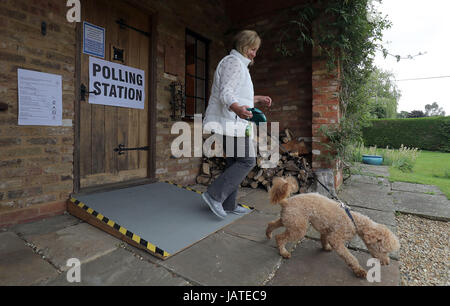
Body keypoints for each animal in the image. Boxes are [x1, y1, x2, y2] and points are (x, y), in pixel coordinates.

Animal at [266, 176, 400, 278]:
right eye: (384, 251)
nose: (387, 263)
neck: (354, 221)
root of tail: (286, 201)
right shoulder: (336, 239)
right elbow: (350, 257)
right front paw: (359, 270)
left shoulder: (327, 230)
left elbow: (324, 239)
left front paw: (326, 248)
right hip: (298, 228)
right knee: (280, 237)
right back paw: (283, 252)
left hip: (291, 221)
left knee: (272, 224)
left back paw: (268, 234)